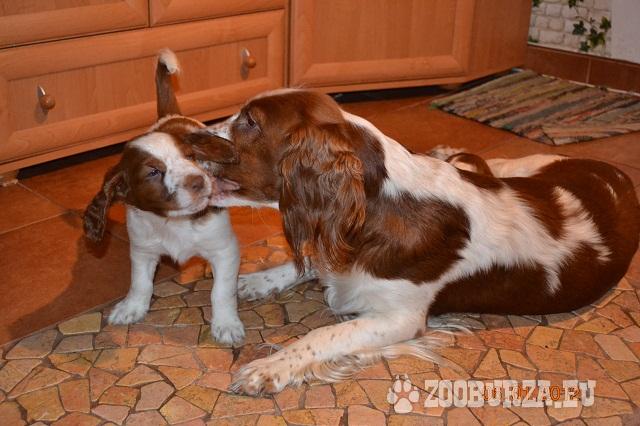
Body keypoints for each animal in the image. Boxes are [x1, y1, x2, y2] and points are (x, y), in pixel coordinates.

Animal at [83, 50, 246, 345]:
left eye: (191, 157)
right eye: (153, 172)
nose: (198, 181)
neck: (175, 222)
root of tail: (171, 116)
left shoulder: (225, 249)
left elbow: (221, 291)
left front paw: (227, 325)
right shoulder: (142, 248)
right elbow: (140, 282)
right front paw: (132, 308)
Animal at [185, 89, 639, 395]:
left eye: (250, 122)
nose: (189, 135)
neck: (379, 206)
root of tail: (617, 175)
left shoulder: (400, 318)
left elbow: (323, 334)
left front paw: (269, 368)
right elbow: (313, 260)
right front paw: (254, 281)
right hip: (525, 168)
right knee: (482, 161)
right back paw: (447, 149)